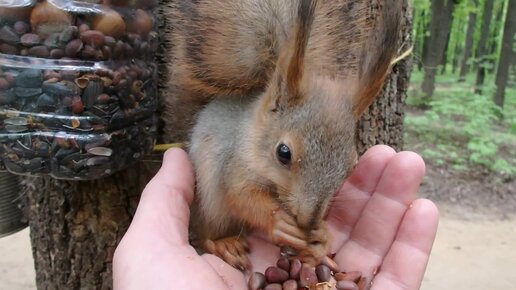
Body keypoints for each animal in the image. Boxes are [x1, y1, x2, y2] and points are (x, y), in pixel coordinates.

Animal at [165, 1, 404, 270]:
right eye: (283, 153)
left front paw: (321, 238)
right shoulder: (235, 163)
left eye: (352, 165)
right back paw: (224, 243)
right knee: (209, 232)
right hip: (207, 200)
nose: (309, 221)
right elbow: (241, 196)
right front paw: (279, 222)